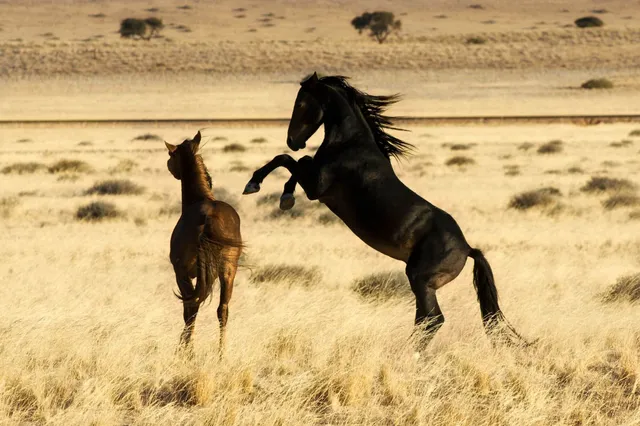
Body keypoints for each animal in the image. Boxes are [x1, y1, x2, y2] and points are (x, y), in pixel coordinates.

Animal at [165, 131, 243, 356]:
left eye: (171, 156)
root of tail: (209, 216)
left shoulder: (182, 273)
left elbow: (189, 309)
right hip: (228, 270)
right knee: (222, 309)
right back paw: (221, 353)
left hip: (185, 273)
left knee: (192, 308)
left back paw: (187, 350)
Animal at [243, 73, 526, 349]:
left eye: (301, 103)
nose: (293, 140)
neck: (350, 144)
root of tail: (467, 249)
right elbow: (294, 162)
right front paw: (284, 196)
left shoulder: (317, 188)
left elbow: (288, 160)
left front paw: (257, 186)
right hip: (423, 284)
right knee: (424, 320)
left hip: (420, 279)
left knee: (432, 320)